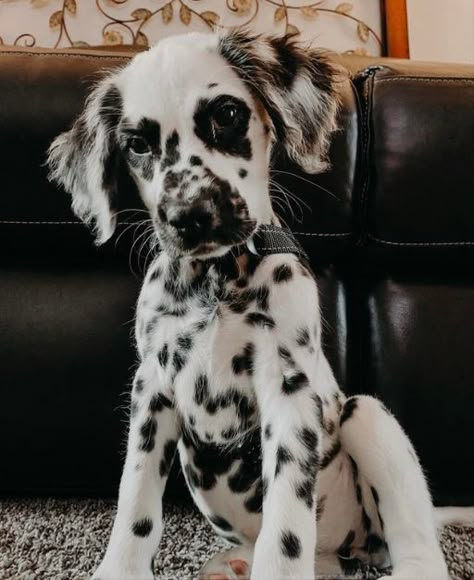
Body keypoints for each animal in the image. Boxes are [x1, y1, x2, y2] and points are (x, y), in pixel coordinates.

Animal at [46, 31, 454, 580]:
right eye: (137, 144)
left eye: (227, 114)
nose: (189, 216)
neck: (217, 282)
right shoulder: (152, 389)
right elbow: (134, 504)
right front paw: (120, 569)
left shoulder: (288, 391)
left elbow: (285, 532)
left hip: (366, 414)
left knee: (413, 541)